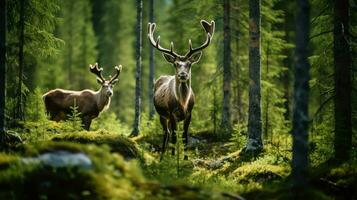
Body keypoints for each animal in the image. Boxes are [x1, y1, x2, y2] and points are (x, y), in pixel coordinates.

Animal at [147, 19, 214, 160]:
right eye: (176, 64)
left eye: (189, 64)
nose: (182, 74)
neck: (183, 103)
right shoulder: (172, 113)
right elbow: (173, 137)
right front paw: (174, 159)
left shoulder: (189, 113)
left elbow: (184, 136)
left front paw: (185, 158)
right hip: (162, 115)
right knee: (167, 133)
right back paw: (163, 156)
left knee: (170, 132)